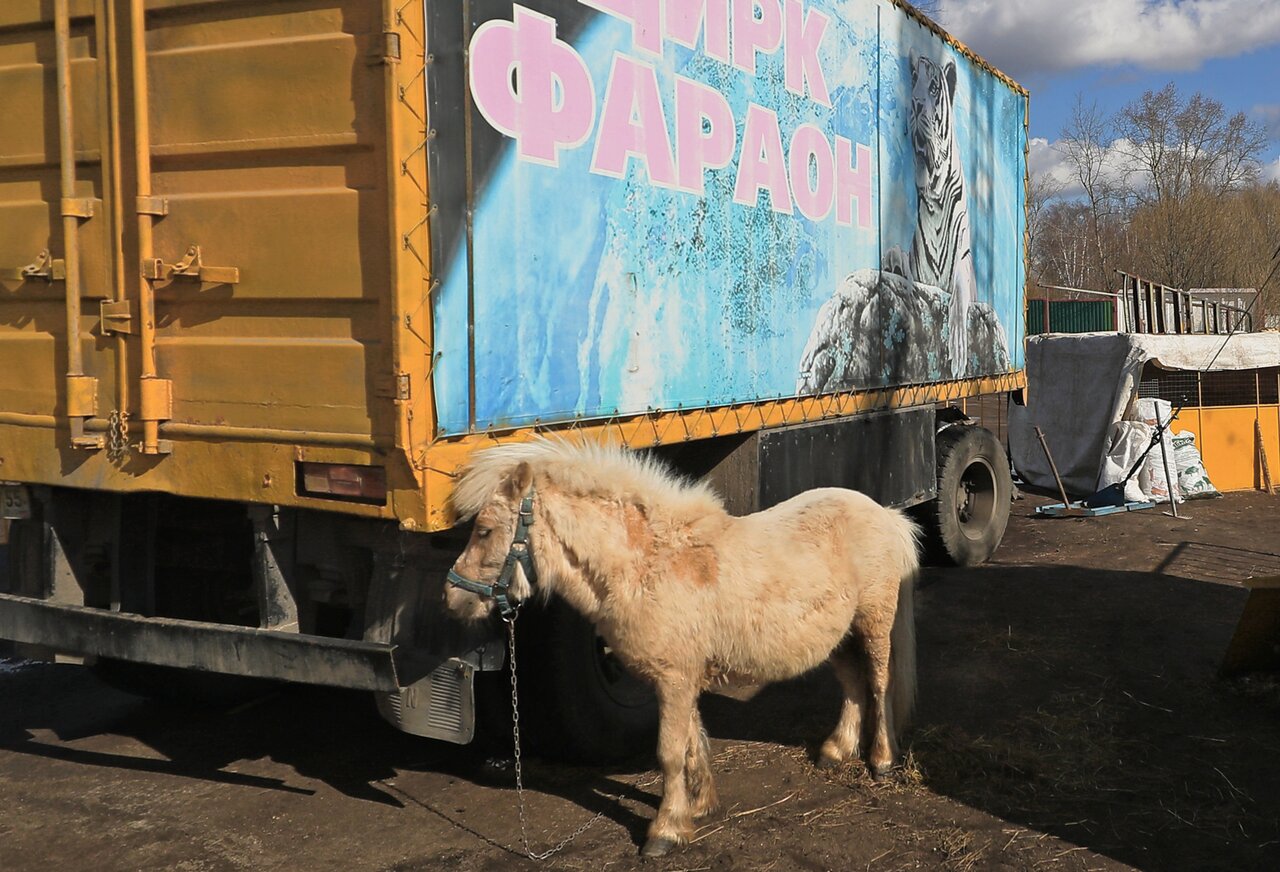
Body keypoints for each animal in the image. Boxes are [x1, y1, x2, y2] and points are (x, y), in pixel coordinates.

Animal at [885, 54, 972, 376]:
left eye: (934, 87)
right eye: (913, 81)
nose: (916, 103)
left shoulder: (963, 262)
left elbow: (958, 295)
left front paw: (958, 350)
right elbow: (902, 260)